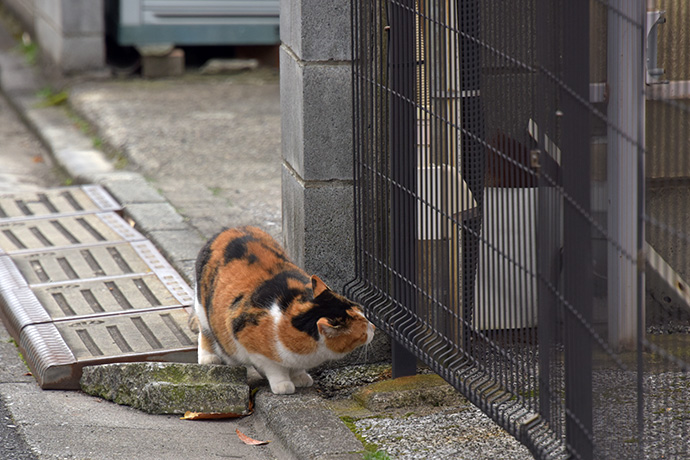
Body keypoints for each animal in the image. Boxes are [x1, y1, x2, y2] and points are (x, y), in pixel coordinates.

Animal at [194, 225, 374, 394]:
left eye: (363, 313)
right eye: (363, 331)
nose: (373, 326)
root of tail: (229, 229)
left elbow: (296, 368)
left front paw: (300, 377)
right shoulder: (250, 342)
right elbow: (274, 368)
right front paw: (283, 385)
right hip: (202, 307)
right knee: (205, 333)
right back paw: (209, 357)